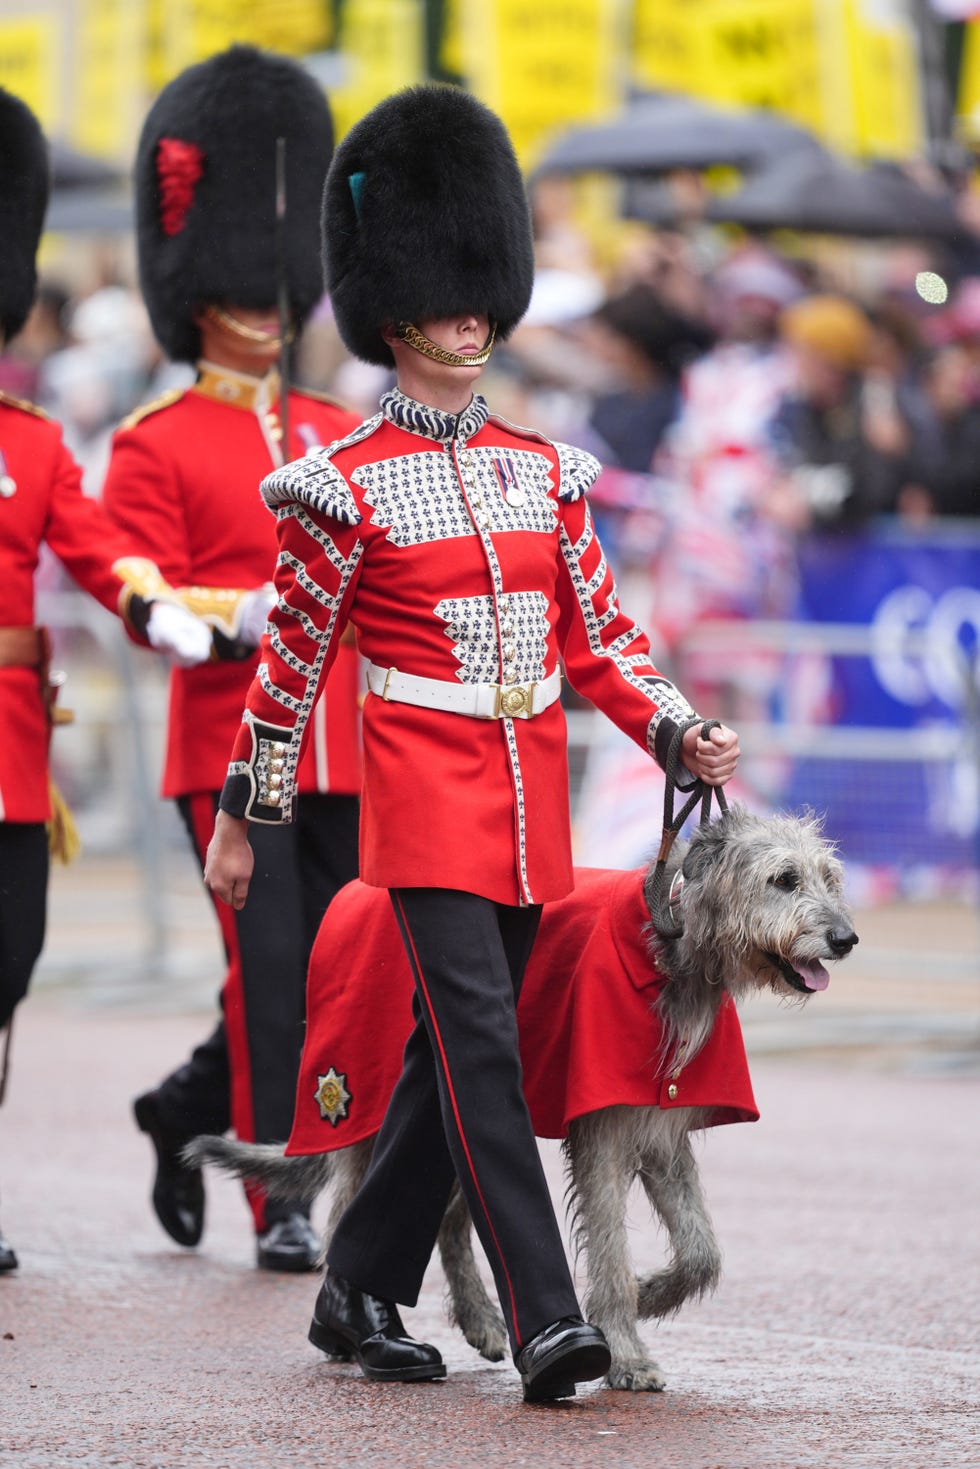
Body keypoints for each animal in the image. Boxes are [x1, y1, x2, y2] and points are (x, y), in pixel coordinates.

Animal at [185, 810, 858, 1392]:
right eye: (783, 879)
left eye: (830, 877)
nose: (846, 938)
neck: (669, 948)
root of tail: (351, 893)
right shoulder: (602, 1131)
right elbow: (609, 1250)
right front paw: (624, 1350)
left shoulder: (661, 1132)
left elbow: (702, 1255)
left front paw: (648, 1293)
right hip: (366, 1090)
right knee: (354, 1208)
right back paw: (358, 1323)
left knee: (446, 1215)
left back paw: (479, 1319)